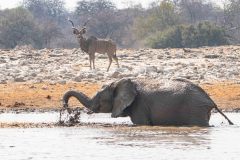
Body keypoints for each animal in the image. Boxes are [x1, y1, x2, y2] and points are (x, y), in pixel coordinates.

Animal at [61, 78, 232, 126]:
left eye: (99, 97)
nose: (68, 111)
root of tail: (210, 99)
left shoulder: (139, 106)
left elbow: (141, 124)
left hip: (195, 110)